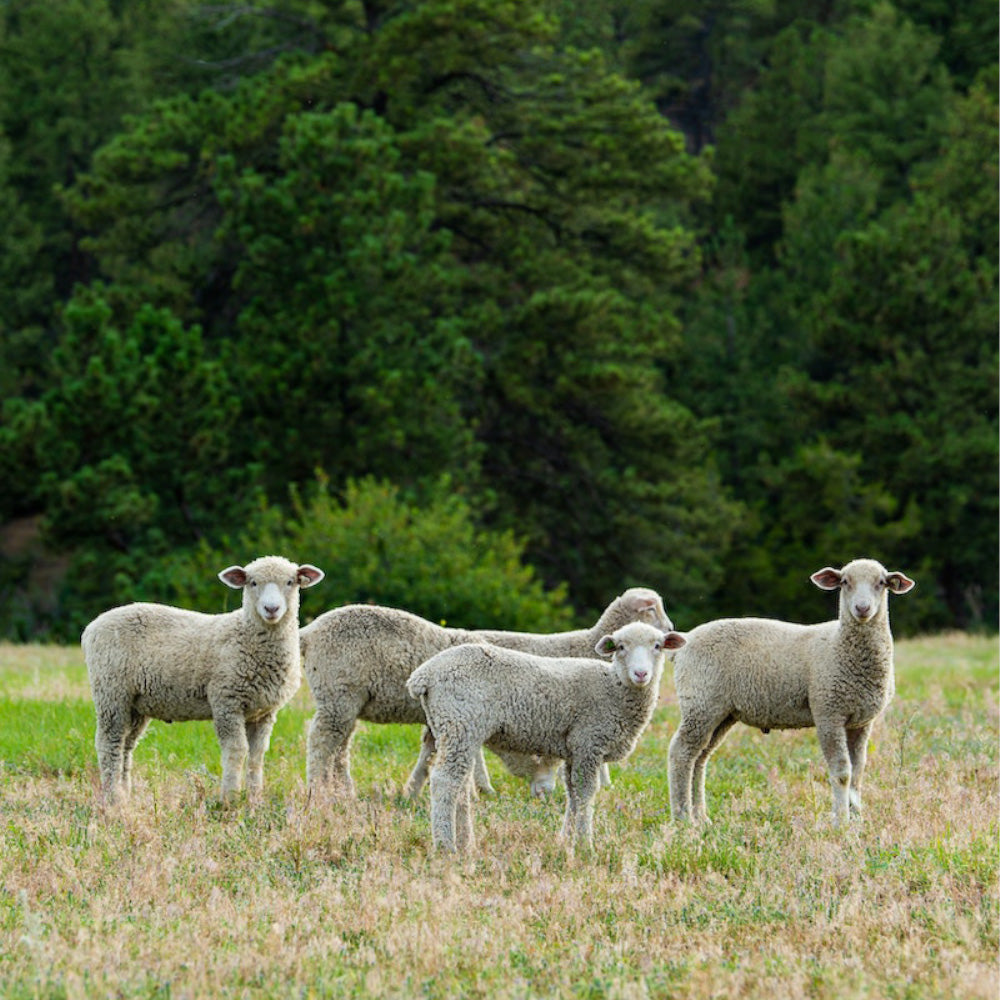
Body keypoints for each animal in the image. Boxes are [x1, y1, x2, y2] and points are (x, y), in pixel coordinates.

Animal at [83, 556, 324, 804]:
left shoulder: (264, 711)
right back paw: (113, 797)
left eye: (290, 582)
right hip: (111, 691)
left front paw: (255, 798)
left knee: (126, 745)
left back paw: (125, 794)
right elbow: (236, 750)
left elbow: (257, 755)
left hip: (135, 704)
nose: (271, 608)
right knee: (109, 744)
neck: (246, 635)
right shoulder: (226, 701)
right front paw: (230, 798)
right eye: (253, 583)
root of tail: (92, 626)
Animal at [296, 584, 672, 796]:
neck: (582, 644)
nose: (671, 628)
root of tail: (310, 632)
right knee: (321, 739)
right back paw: (318, 790)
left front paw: (414, 791)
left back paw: (342, 788)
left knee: (340, 745)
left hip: (349, 700)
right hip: (338, 694)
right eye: (653, 609)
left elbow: (431, 751)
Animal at [404, 620, 680, 856]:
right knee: (444, 781)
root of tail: (423, 676)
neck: (613, 688)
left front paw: (565, 840)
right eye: (621, 647)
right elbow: (586, 792)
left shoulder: (574, 749)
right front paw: (584, 845)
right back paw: (446, 847)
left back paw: (465, 843)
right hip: (460, 722)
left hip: (454, 729)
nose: (641, 674)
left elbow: (573, 793)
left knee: (460, 784)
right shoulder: (588, 743)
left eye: (658, 646)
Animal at [672, 556, 916, 828]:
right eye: (844, 582)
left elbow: (858, 772)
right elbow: (842, 773)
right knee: (681, 753)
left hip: (721, 712)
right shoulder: (828, 713)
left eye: (881, 583)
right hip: (700, 702)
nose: (862, 608)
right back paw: (683, 818)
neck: (840, 645)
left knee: (700, 758)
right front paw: (841, 822)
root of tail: (685, 640)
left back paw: (701, 817)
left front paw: (857, 820)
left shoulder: (861, 721)